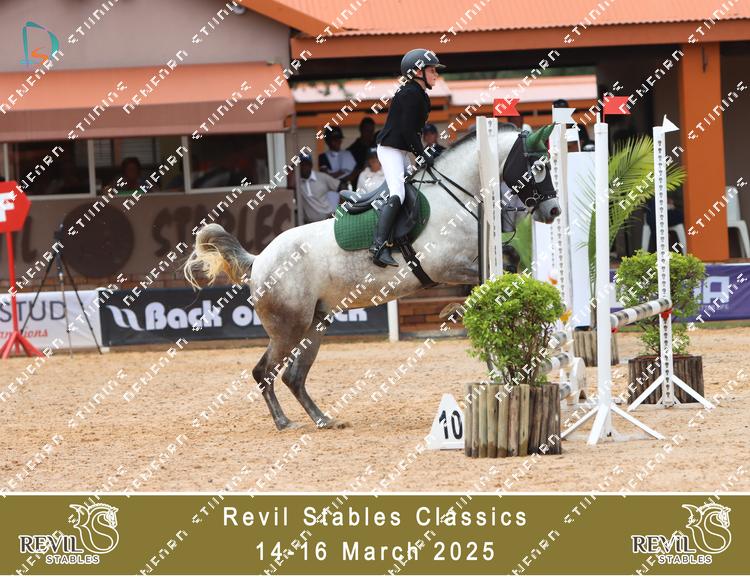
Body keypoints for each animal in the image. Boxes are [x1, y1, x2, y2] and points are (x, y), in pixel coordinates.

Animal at [183, 125, 560, 430]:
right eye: (539, 166)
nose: (553, 211)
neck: (453, 195)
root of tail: (259, 259)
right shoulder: (444, 265)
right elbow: (493, 274)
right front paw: (456, 310)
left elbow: (509, 263)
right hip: (288, 327)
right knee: (264, 372)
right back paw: (284, 422)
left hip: (315, 324)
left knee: (294, 377)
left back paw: (323, 419)